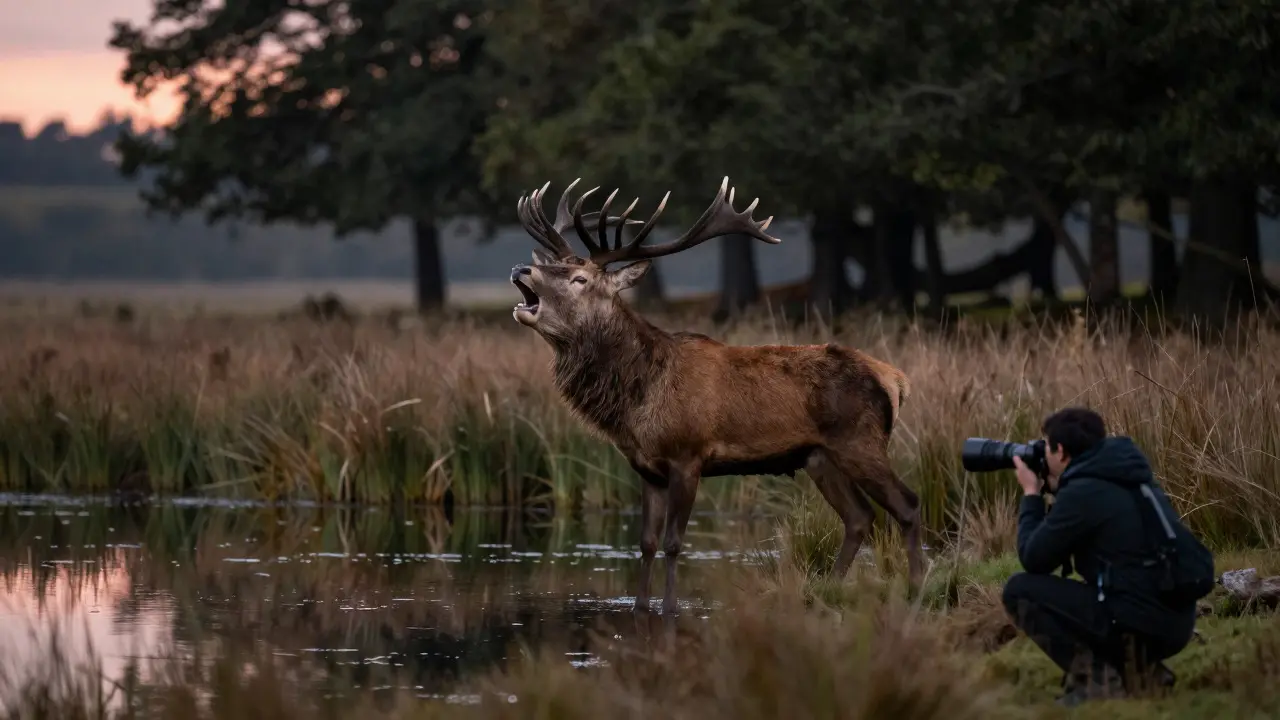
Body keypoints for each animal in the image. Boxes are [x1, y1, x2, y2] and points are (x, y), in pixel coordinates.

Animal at [508, 177, 922, 615]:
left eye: (579, 279)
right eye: (554, 265)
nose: (521, 268)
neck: (638, 399)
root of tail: (895, 379)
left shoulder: (688, 455)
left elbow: (674, 543)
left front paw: (670, 607)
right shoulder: (646, 469)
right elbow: (646, 543)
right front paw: (640, 606)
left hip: (861, 442)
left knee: (908, 504)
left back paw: (916, 587)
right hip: (820, 457)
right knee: (859, 517)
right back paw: (827, 589)